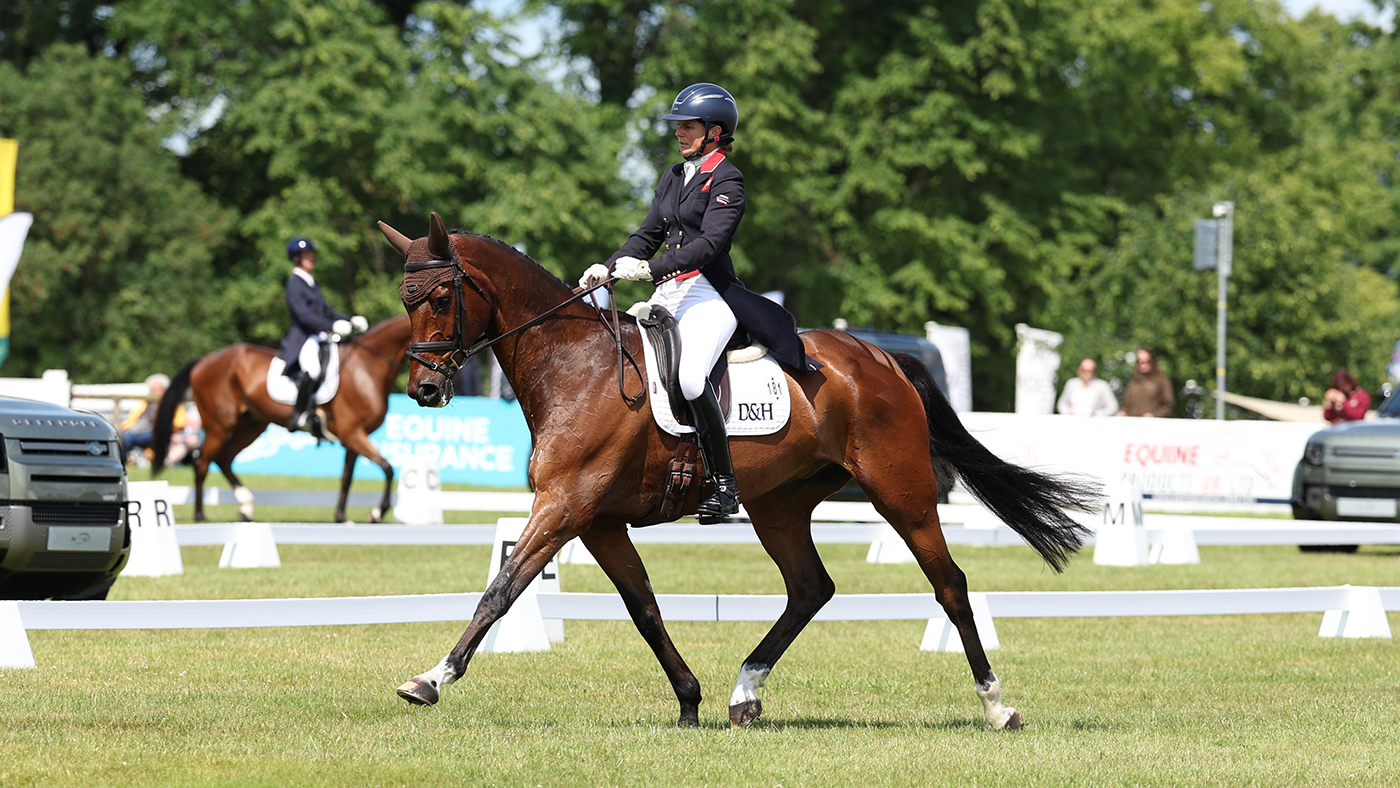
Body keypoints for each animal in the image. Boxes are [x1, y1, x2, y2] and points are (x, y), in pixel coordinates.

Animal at [149, 315, 412, 524]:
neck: (366, 368)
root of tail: (205, 359)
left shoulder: (353, 438)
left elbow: (347, 478)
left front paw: (341, 517)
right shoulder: (352, 434)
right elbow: (388, 468)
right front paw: (376, 514)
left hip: (251, 426)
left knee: (224, 459)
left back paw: (245, 507)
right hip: (219, 426)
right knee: (202, 462)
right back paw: (200, 515)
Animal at [382, 213, 1098, 730]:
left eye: (441, 296)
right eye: (404, 300)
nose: (424, 390)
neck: (576, 365)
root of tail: (883, 360)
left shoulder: (564, 507)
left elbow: (501, 591)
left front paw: (430, 680)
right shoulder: (598, 522)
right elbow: (644, 608)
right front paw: (689, 701)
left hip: (904, 492)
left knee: (950, 584)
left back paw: (997, 706)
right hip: (778, 503)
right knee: (810, 588)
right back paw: (743, 694)